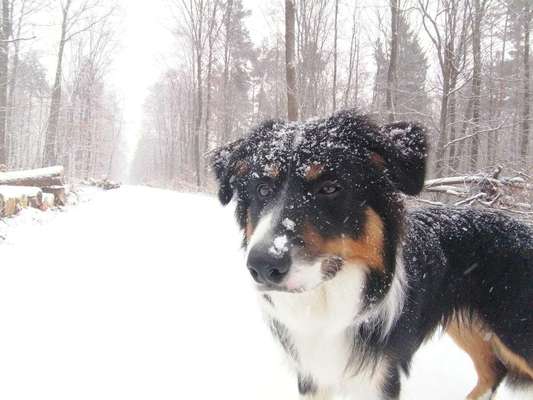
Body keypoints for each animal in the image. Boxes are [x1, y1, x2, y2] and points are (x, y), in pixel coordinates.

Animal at [210, 108, 528, 398]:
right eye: (263, 189)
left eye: (330, 187)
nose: (263, 266)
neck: (327, 306)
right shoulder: (313, 374)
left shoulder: (380, 374)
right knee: (493, 370)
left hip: (515, 331)